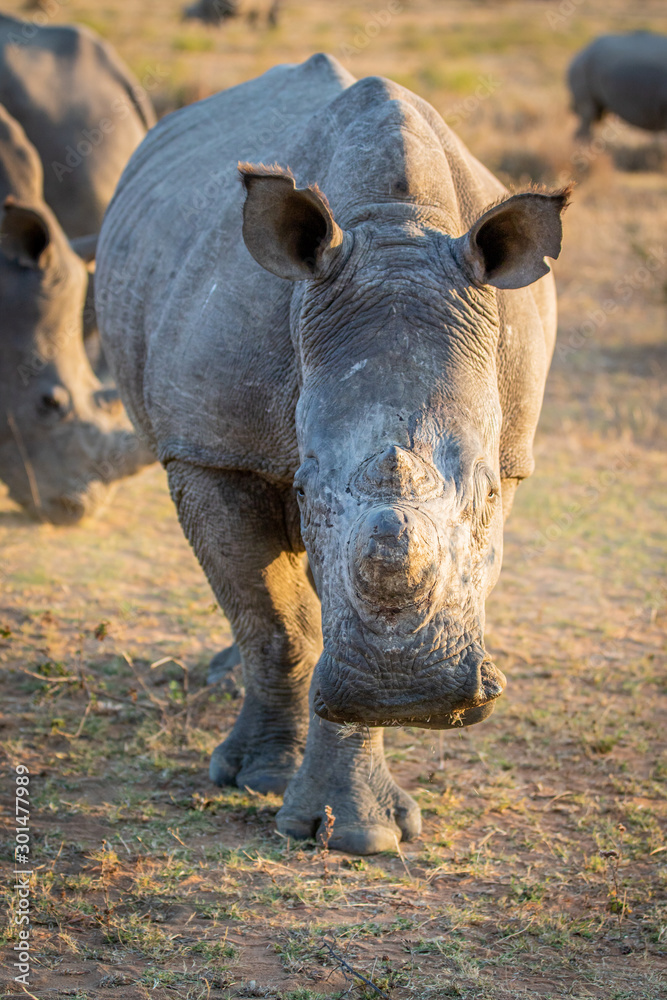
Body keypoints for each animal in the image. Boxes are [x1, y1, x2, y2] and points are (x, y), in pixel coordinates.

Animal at [96, 54, 568, 853]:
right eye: (306, 489)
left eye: (486, 495)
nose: (410, 690)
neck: (398, 229)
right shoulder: (212, 449)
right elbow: (277, 625)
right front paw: (261, 782)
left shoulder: (509, 451)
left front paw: (359, 833)